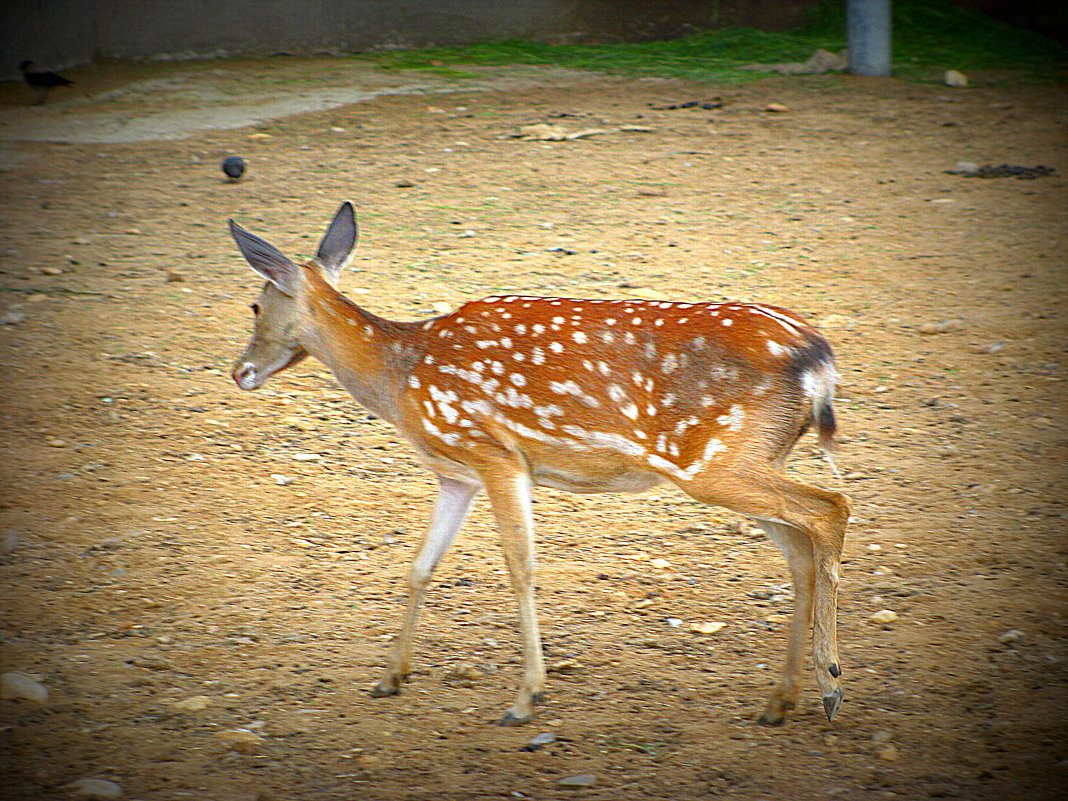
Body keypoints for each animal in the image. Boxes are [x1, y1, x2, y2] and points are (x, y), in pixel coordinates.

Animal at [227, 200, 850, 726]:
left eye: (255, 303)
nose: (240, 372)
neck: (400, 376)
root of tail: (818, 358)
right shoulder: (455, 473)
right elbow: (420, 566)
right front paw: (390, 677)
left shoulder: (495, 453)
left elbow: (520, 569)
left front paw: (527, 698)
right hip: (748, 455)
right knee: (800, 549)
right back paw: (780, 699)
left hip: (714, 460)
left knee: (831, 508)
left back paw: (830, 684)